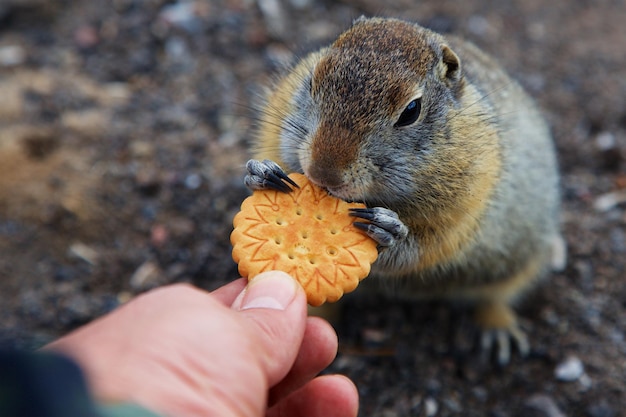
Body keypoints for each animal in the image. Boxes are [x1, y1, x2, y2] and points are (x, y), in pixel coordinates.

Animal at [243, 16, 560, 362]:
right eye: (312, 79)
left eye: (411, 110)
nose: (323, 173)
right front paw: (262, 173)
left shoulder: (462, 209)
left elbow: (423, 247)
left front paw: (389, 232)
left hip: (517, 261)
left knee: (495, 296)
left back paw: (499, 331)